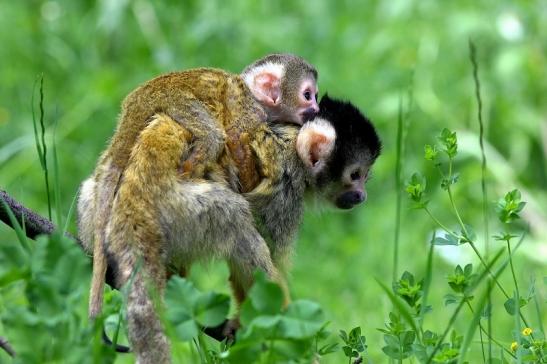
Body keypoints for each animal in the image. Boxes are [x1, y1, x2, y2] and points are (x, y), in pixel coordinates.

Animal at [79, 95, 384, 362]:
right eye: (355, 175)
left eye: (365, 177)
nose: (362, 195)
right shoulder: (285, 189)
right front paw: (291, 342)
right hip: (182, 207)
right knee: (235, 217)